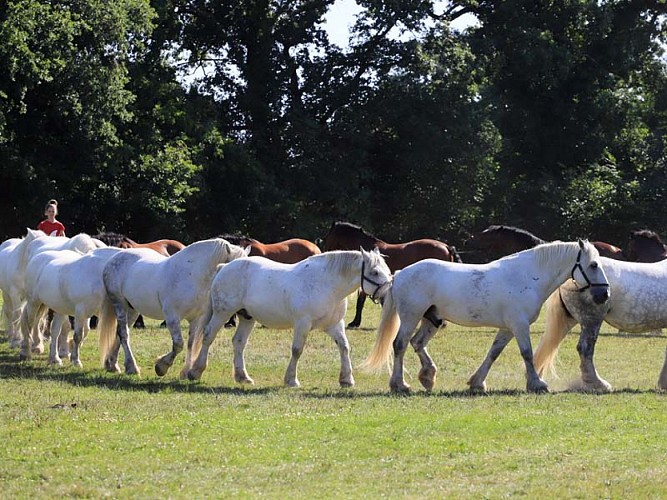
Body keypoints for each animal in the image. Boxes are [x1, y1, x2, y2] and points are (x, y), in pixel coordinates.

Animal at [100, 238, 249, 376]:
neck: (190, 274)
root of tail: (114, 258)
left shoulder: (195, 319)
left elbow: (190, 344)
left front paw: (186, 372)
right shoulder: (172, 317)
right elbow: (178, 344)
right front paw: (161, 367)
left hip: (132, 310)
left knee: (120, 334)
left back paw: (113, 365)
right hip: (119, 305)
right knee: (123, 334)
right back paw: (132, 367)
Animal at [185, 248, 393, 387]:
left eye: (388, 270)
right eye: (375, 272)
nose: (387, 293)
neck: (326, 284)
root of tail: (224, 267)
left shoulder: (334, 325)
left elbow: (344, 347)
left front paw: (346, 379)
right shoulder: (302, 324)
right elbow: (297, 350)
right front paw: (291, 380)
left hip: (247, 317)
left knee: (238, 342)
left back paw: (242, 377)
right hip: (222, 313)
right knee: (208, 336)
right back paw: (195, 371)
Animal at [362, 240, 610, 394]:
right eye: (593, 265)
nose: (604, 294)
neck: (527, 276)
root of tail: (399, 274)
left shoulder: (508, 328)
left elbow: (493, 353)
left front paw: (477, 383)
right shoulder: (519, 325)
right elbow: (527, 354)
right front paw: (537, 383)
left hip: (431, 320)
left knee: (417, 343)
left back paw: (428, 376)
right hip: (411, 317)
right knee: (400, 345)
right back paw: (400, 385)